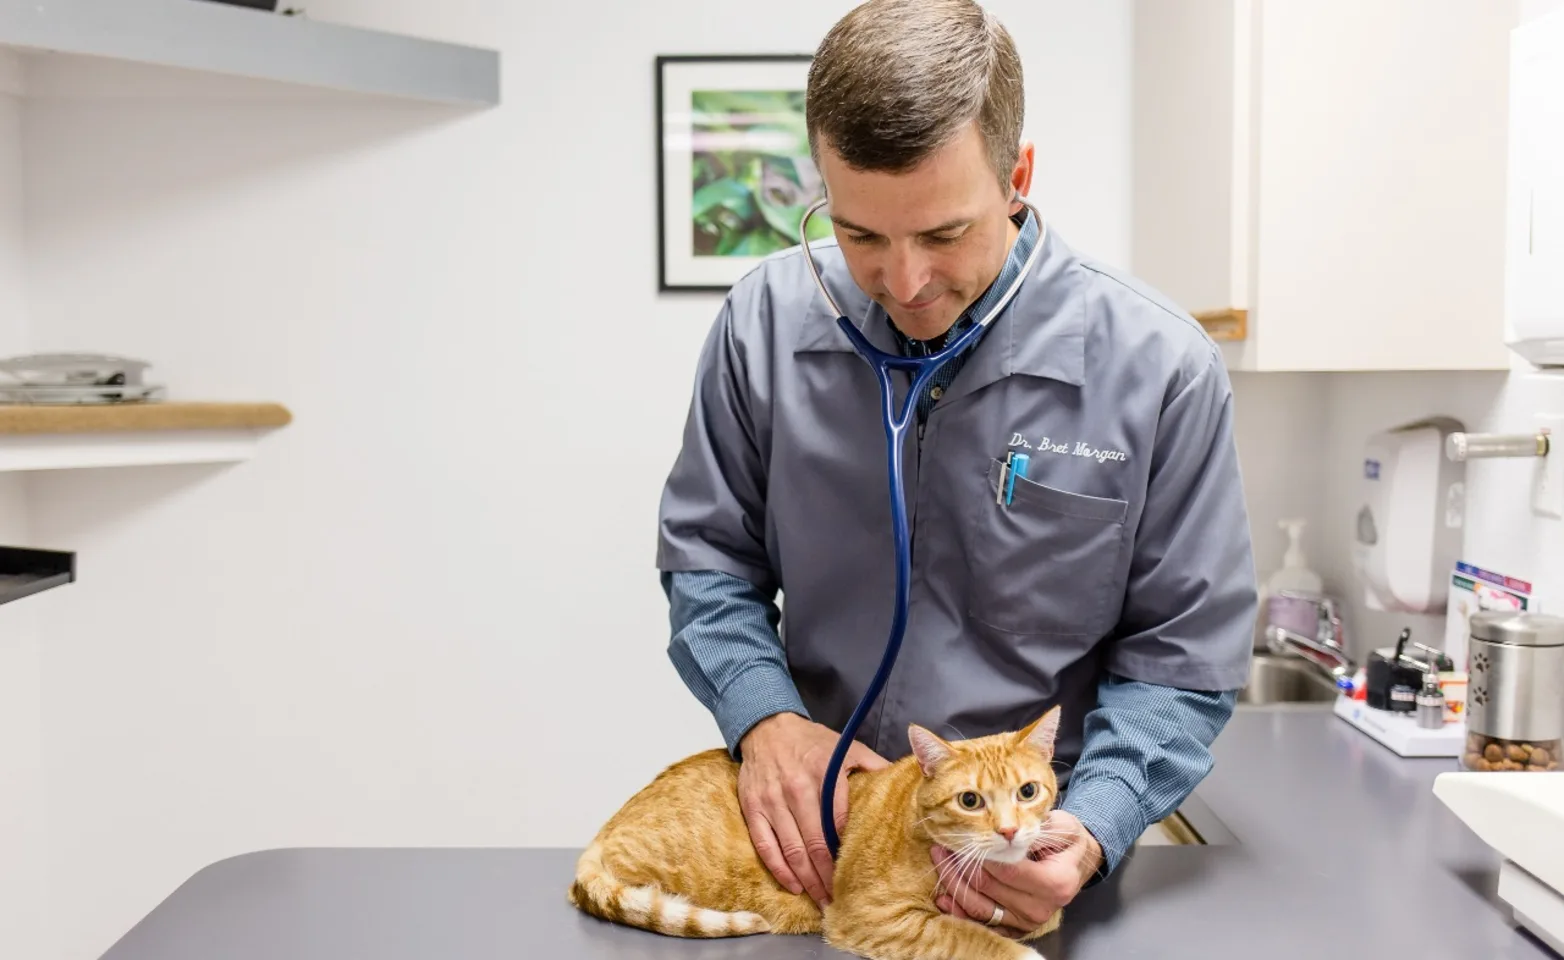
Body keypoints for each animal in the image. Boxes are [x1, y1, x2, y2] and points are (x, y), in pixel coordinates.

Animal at [569, 706, 1069, 960]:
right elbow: (963, 936)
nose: (1008, 830)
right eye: (970, 801)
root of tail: (604, 832)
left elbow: (1045, 919)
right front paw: (1017, 953)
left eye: (1027, 792)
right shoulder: (873, 919)